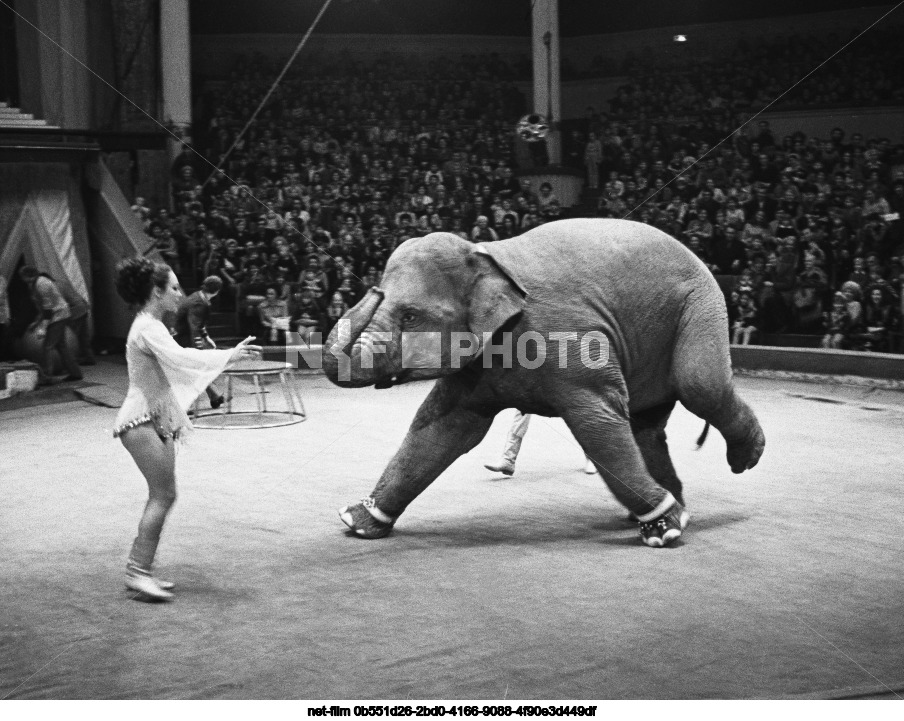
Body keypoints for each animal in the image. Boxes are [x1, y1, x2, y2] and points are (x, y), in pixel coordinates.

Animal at [324, 218, 764, 544]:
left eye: (410, 316)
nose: (366, 284)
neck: (486, 252)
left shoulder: (571, 340)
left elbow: (598, 424)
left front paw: (663, 532)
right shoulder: (477, 364)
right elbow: (440, 429)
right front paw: (357, 521)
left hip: (700, 303)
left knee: (699, 386)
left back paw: (742, 461)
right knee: (646, 426)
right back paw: (670, 509)